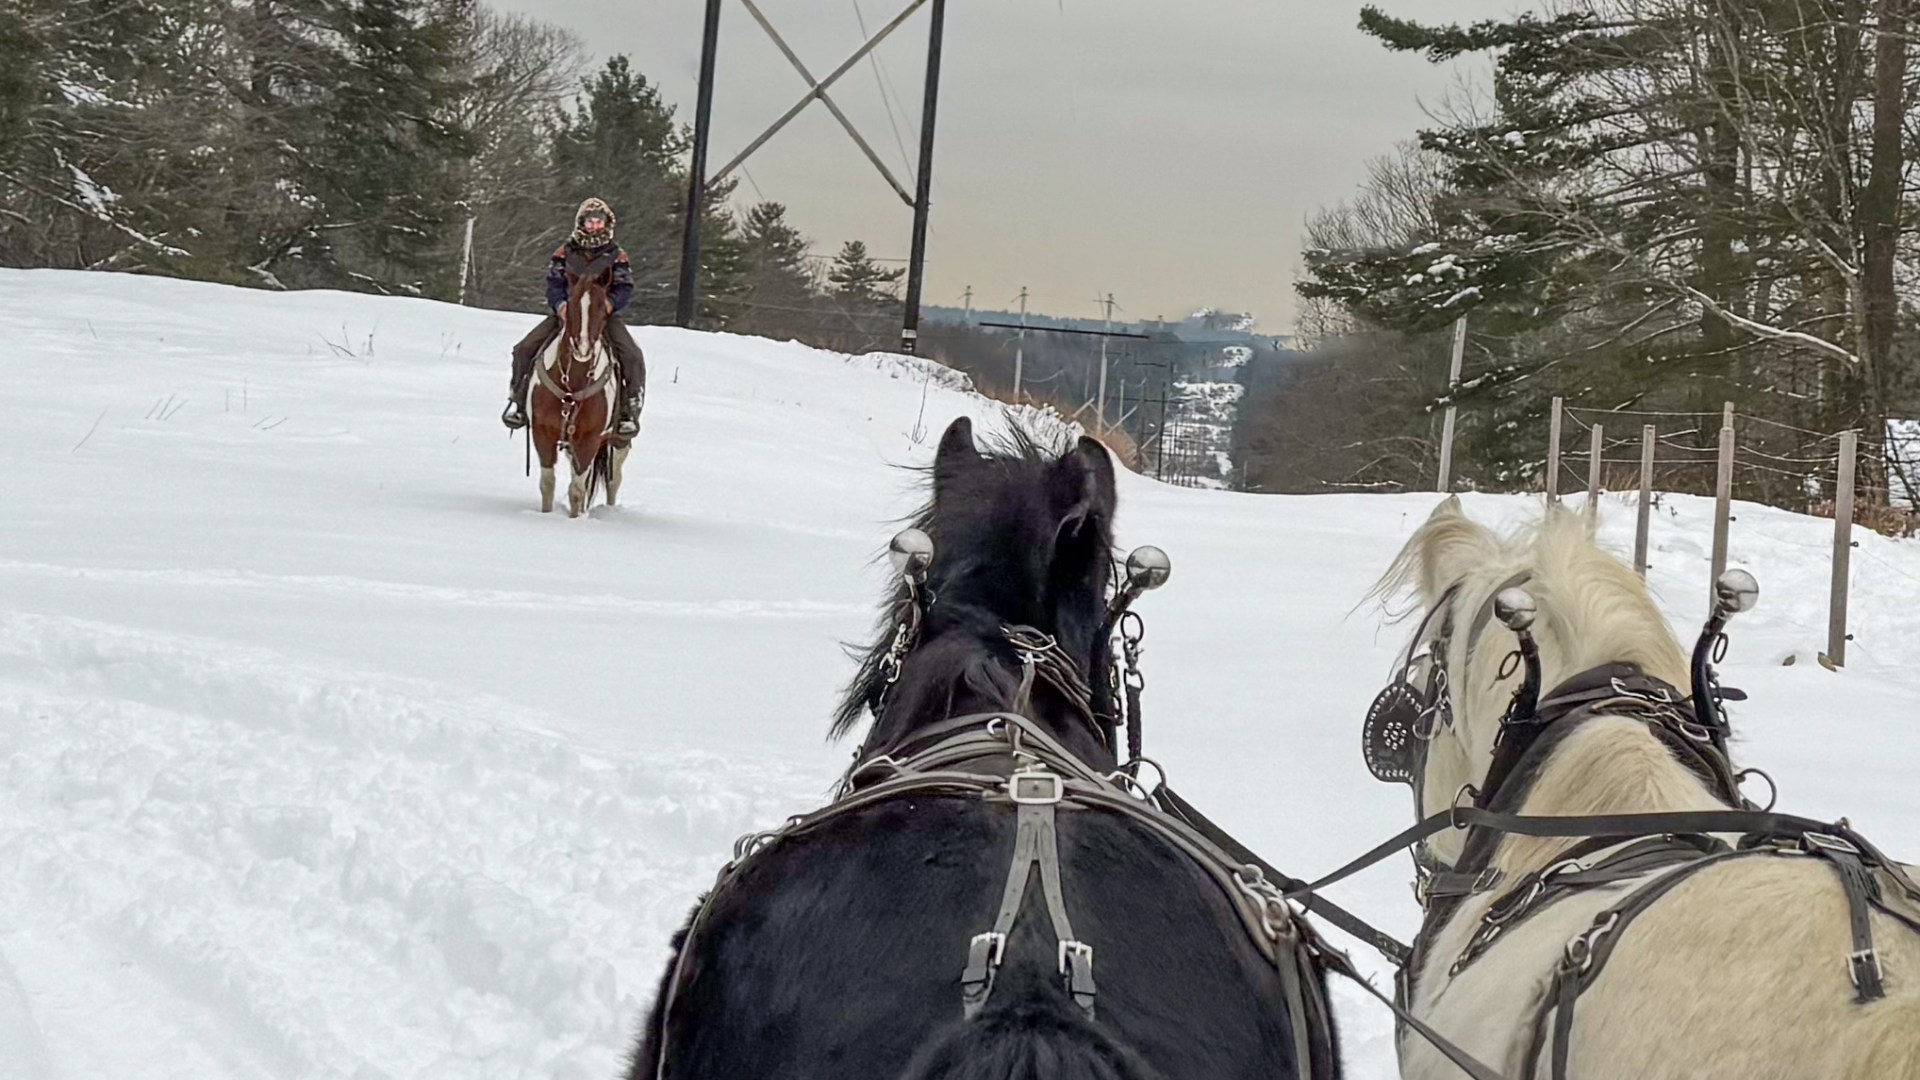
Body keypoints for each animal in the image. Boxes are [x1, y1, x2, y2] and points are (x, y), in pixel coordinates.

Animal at [530, 265, 628, 517]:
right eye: (572, 303)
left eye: (603, 307)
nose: (582, 347)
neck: (572, 384)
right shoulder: (542, 431)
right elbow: (547, 484)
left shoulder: (589, 439)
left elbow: (576, 490)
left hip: (617, 443)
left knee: (614, 479)